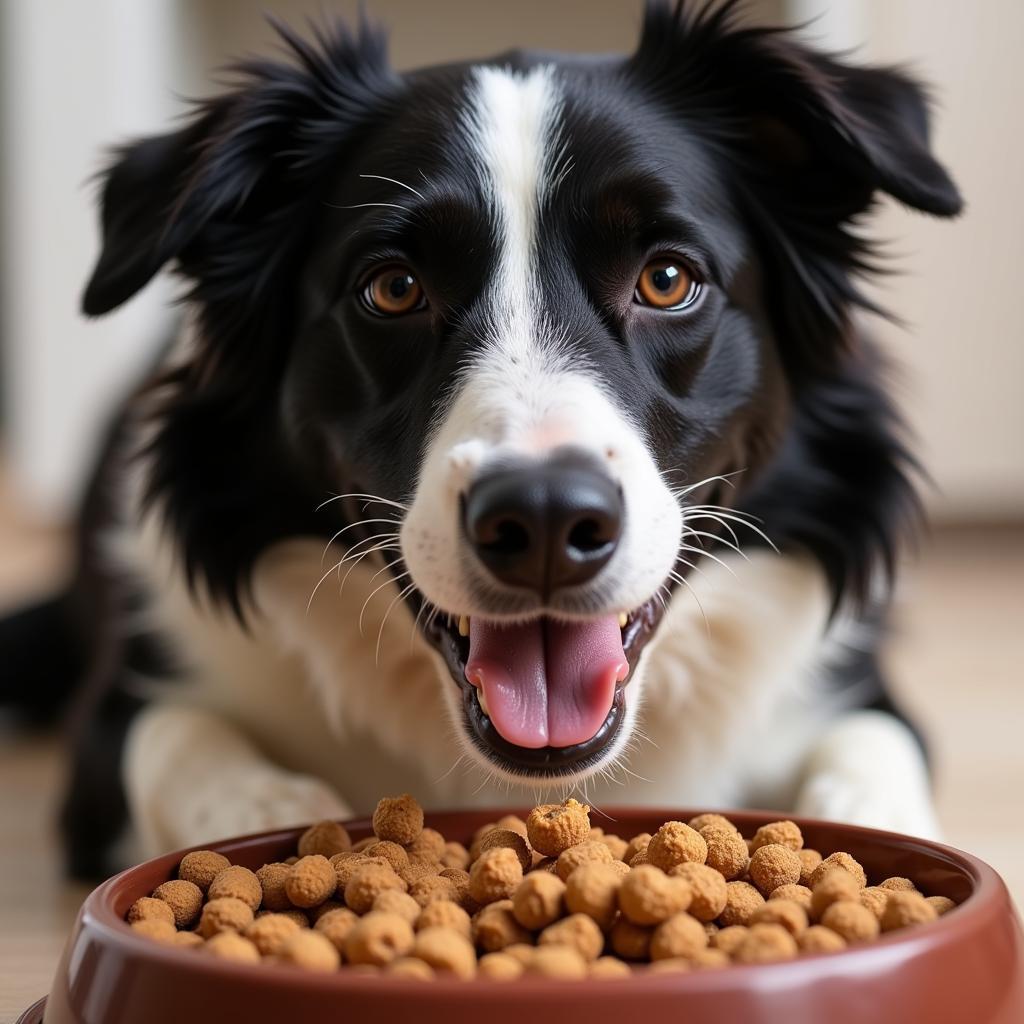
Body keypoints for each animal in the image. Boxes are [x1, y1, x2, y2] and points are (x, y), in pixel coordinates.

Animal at [0, 2, 958, 880]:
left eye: (667, 278)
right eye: (392, 288)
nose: (544, 523)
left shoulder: (858, 687)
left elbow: (876, 747)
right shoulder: (125, 711)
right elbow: (170, 733)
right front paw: (267, 808)